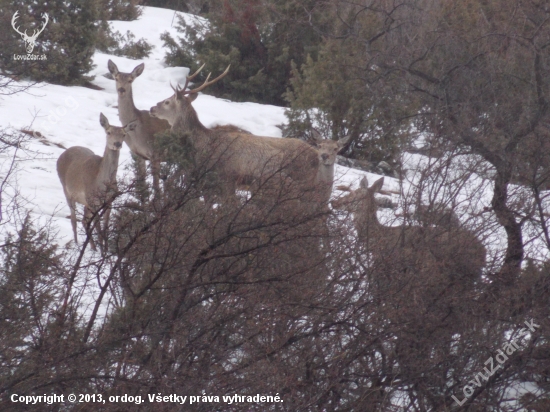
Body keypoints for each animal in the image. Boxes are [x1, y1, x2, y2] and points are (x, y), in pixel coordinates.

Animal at [56, 114, 129, 253]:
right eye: (108, 132)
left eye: (124, 134)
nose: (117, 144)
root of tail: (62, 154)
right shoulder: (92, 200)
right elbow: (98, 227)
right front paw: (101, 252)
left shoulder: (109, 201)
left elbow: (105, 226)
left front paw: (105, 250)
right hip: (67, 190)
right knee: (74, 219)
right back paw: (77, 244)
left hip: (85, 202)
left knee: (85, 221)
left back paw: (92, 247)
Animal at [106, 59, 169, 196]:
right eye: (116, 78)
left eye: (130, 80)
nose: (121, 89)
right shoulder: (139, 155)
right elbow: (142, 185)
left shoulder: (155, 154)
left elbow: (156, 187)